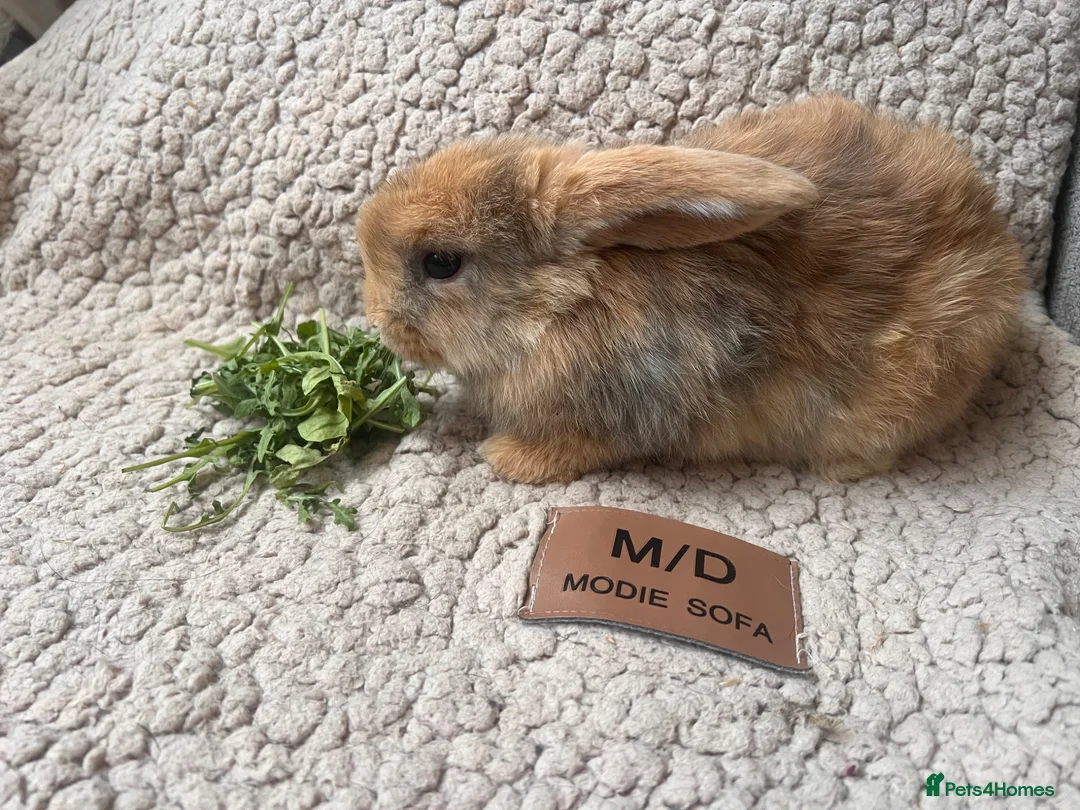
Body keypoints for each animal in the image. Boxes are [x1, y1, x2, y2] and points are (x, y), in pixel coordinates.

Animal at [356, 95, 1027, 485]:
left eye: (441, 262)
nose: (379, 320)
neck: (562, 306)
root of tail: (998, 243)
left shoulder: (627, 412)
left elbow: (579, 448)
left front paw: (506, 459)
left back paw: (840, 468)